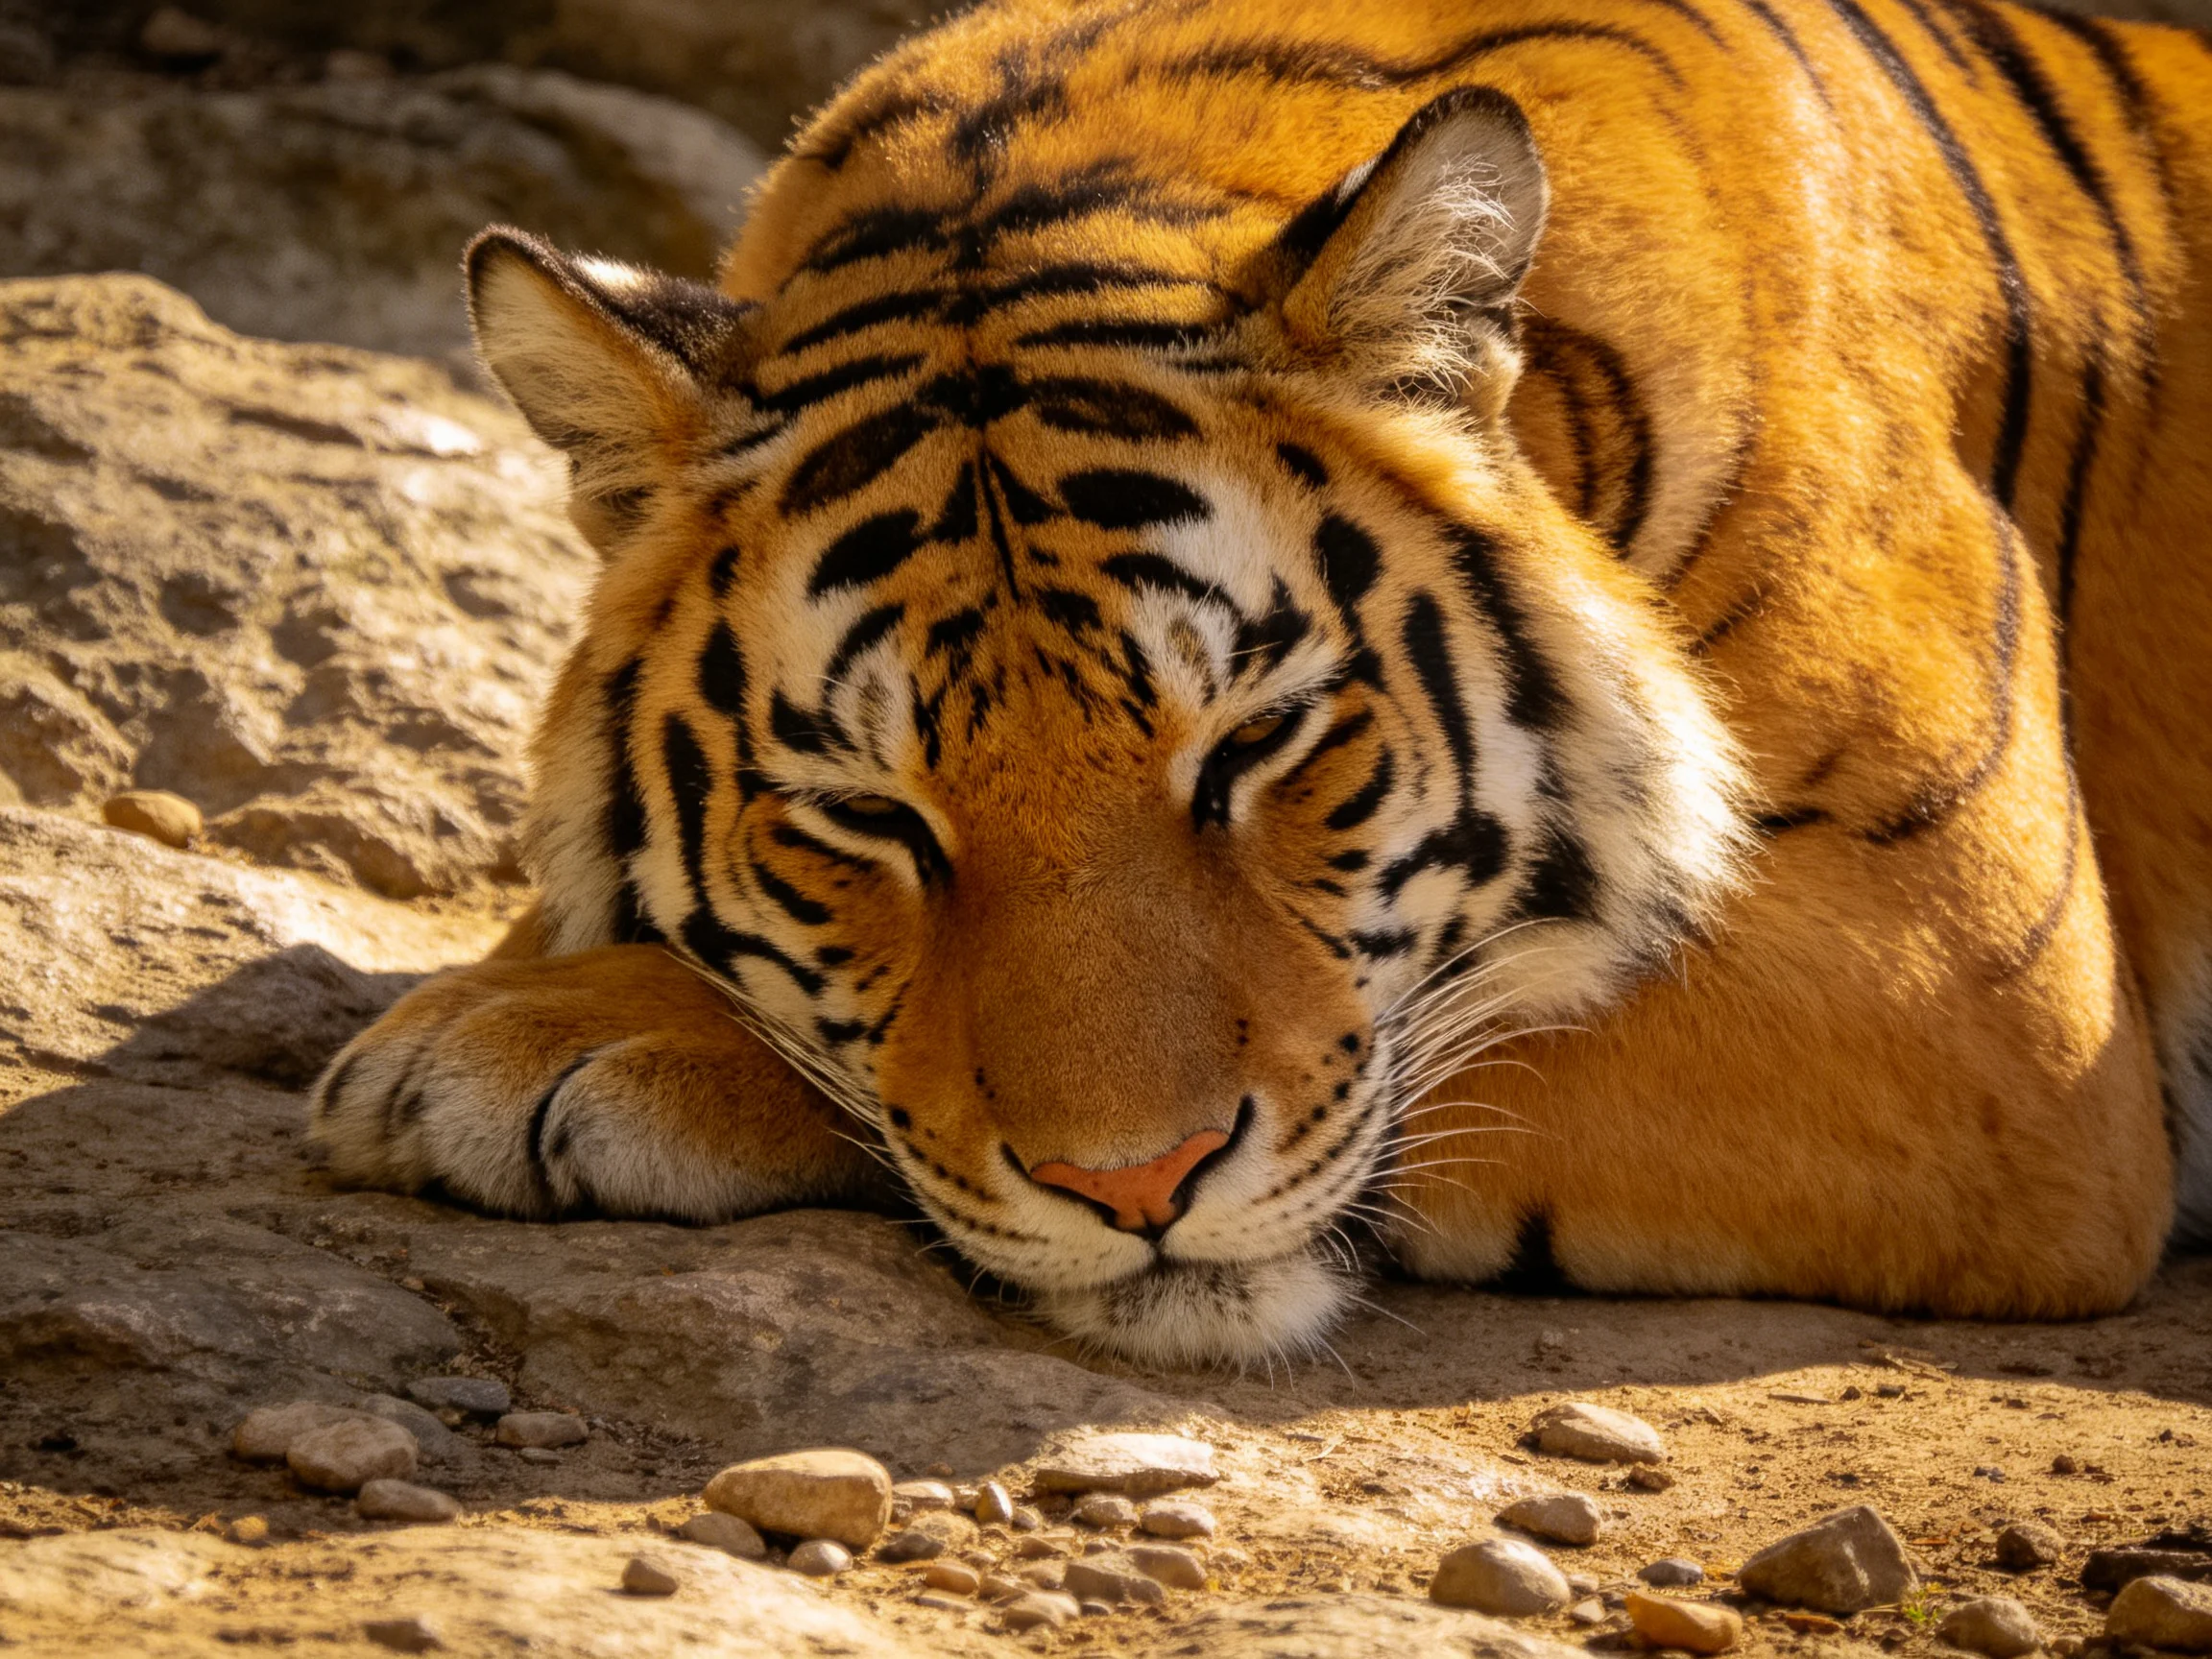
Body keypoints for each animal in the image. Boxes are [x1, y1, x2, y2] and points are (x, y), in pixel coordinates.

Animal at [308, 0, 2212, 1368]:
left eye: (1257, 746)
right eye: (864, 815)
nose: (1133, 1185)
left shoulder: (1978, 1002)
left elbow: (1474, 1045)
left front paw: (539, 1037)